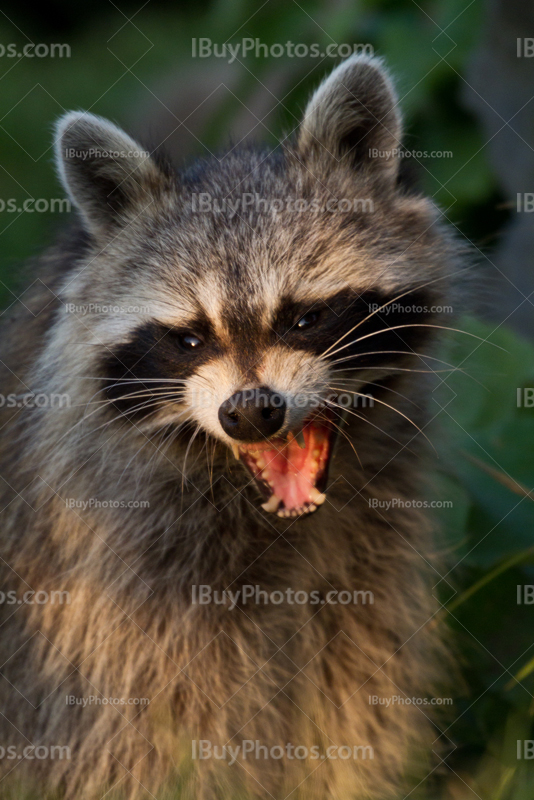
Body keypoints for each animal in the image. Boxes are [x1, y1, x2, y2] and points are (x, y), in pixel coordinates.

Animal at [0, 56, 462, 800]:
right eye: (189, 339)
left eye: (305, 317)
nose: (250, 412)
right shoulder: (102, 574)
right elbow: (131, 734)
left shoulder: (368, 552)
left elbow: (354, 689)